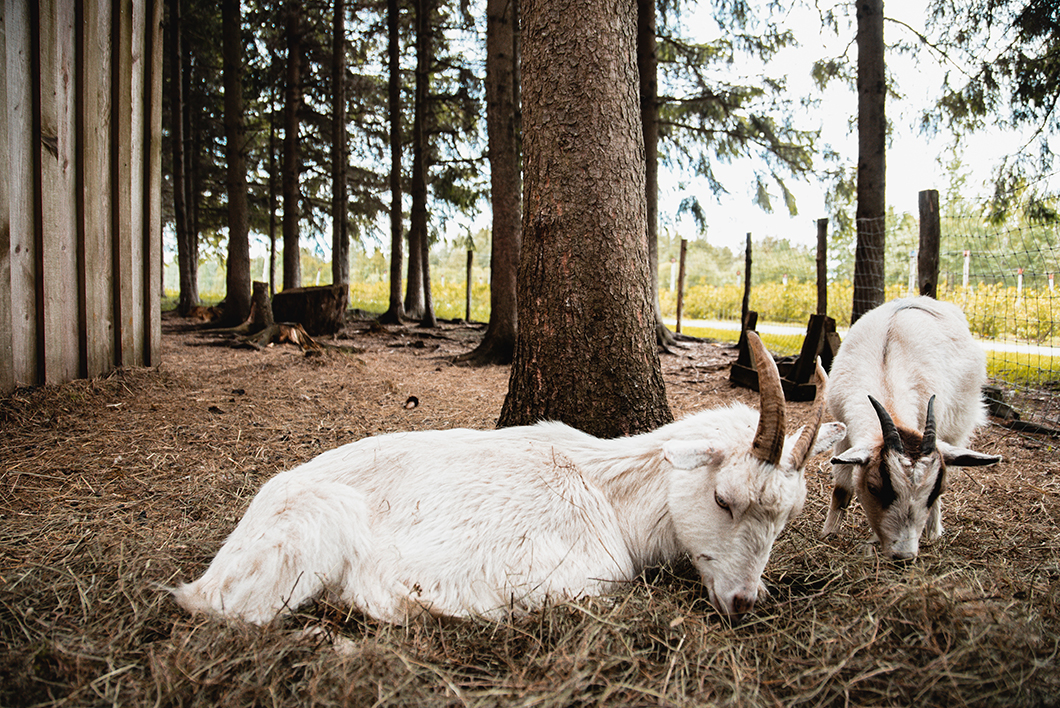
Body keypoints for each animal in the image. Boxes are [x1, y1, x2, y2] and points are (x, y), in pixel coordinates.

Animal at [818, 296, 1000, 559]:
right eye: (874, 488)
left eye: (937, 490)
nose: (903, 555)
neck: (885, 370)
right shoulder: (844, 431)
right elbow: (841, 489)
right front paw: (829, 533)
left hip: (957, 425)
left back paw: (934, 532)